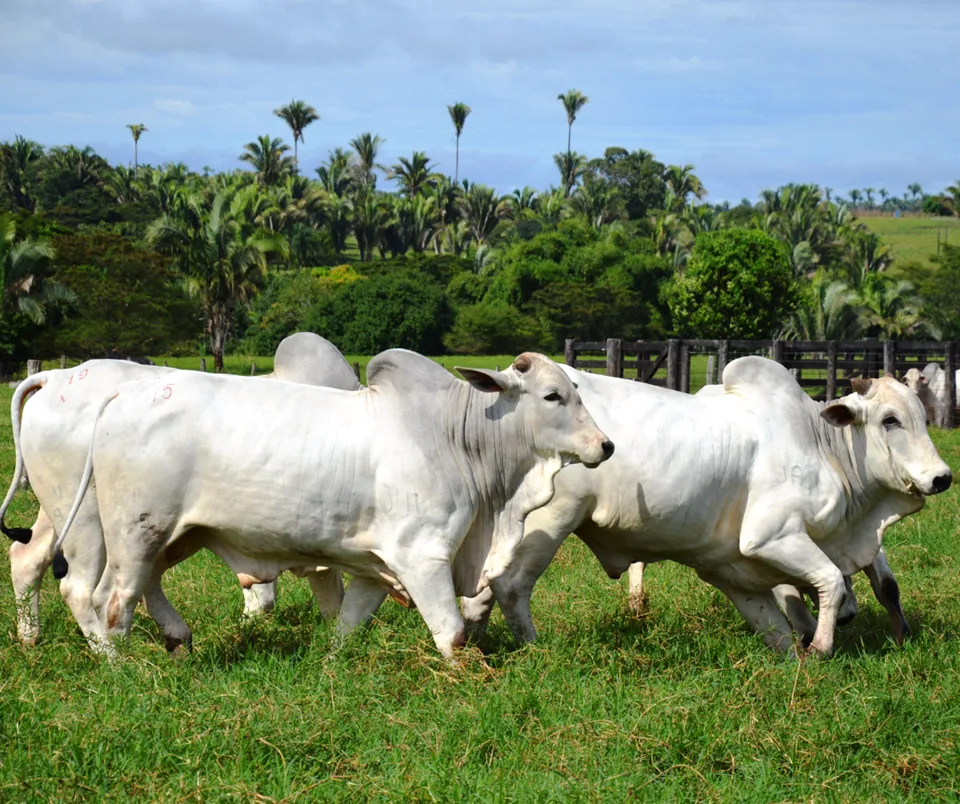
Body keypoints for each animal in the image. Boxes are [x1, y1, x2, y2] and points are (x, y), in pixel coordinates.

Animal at [0, 332, 360, 648]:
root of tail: (55, 378)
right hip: (90, 520)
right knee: (80, 587)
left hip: (61, 506)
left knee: (27, 557)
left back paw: (30, 638)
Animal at [56, 350, 612, 660]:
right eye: (553, 396)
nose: (605, 446)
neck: (454, 437)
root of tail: (126, 394)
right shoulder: (424, 557)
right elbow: (452, 635)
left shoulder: (375, 567)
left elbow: (347, 625)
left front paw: (328, 664)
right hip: (135, 531)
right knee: (107, 599)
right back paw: (120, 667)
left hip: (174, 534)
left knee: (143, 585)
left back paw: (176, 638)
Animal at [462, 360, 948, 660]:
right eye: (889, 420)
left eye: (922, 416)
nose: (942, 477)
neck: (823, 446)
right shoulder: (772, 535)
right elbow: (830, 580)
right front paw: (821, 647)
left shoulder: (732, 569)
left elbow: (783, 628)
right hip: (549, 521)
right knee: (510, 587)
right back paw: (530, 647)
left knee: (482, 592)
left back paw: (471, 645)